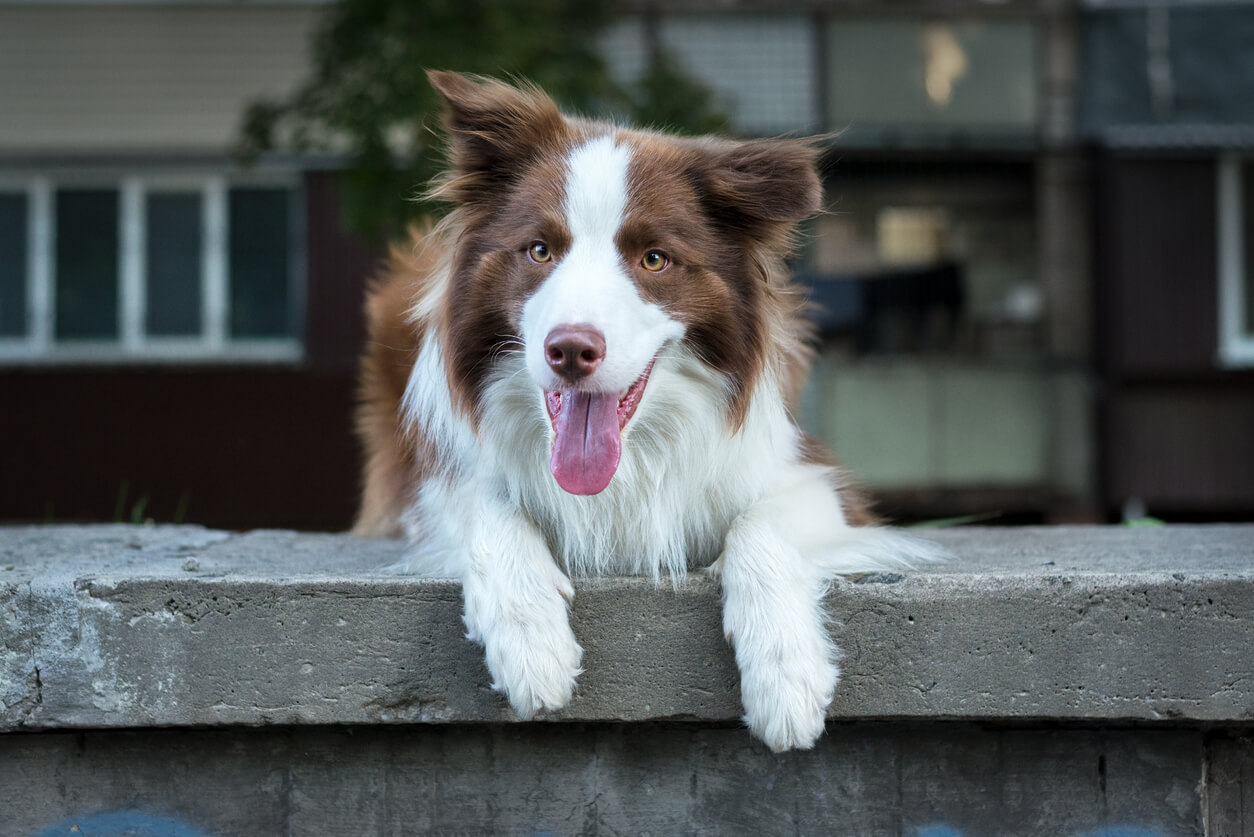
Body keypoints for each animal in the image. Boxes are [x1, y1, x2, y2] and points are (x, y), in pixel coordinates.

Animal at [353, 72, 943, 752]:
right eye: (539, 250)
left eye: (654, 259)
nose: (570, 350)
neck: (634, 456)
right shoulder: (426, 492)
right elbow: (488, 504)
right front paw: (531, 642)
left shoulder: (813, 479)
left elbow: (759, 524)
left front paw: (786, 676)